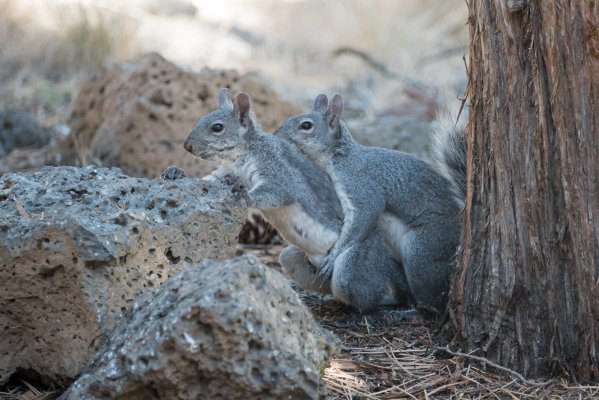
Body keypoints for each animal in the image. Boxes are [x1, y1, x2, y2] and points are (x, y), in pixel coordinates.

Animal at [185, 90, 414, 312]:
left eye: (217, 128)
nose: (187, 146)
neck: (243, 154)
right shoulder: (226, 170)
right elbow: (210, 179)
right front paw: (182, 176)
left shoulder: (277, 168)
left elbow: (279, 191)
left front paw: (246, 194)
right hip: (295, 262)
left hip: (355, 263)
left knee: (374, 293)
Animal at [276, 94, 468, 316]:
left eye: (306, 125)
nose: (276, 134)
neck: (339, 157)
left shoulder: (361, 185)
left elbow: (364, 217)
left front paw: (333, 257)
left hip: (422, 250)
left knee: (432, 298)